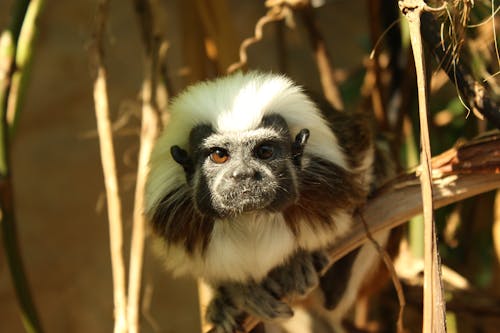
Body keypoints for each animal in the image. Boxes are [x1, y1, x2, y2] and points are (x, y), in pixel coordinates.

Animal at [146, 72, 392, 332]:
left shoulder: (348, 160)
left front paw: (296, 261)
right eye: (219, 155)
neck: (252, 217)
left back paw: (333, 284)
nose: (243, 174)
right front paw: (239, 292)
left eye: (264, 151)